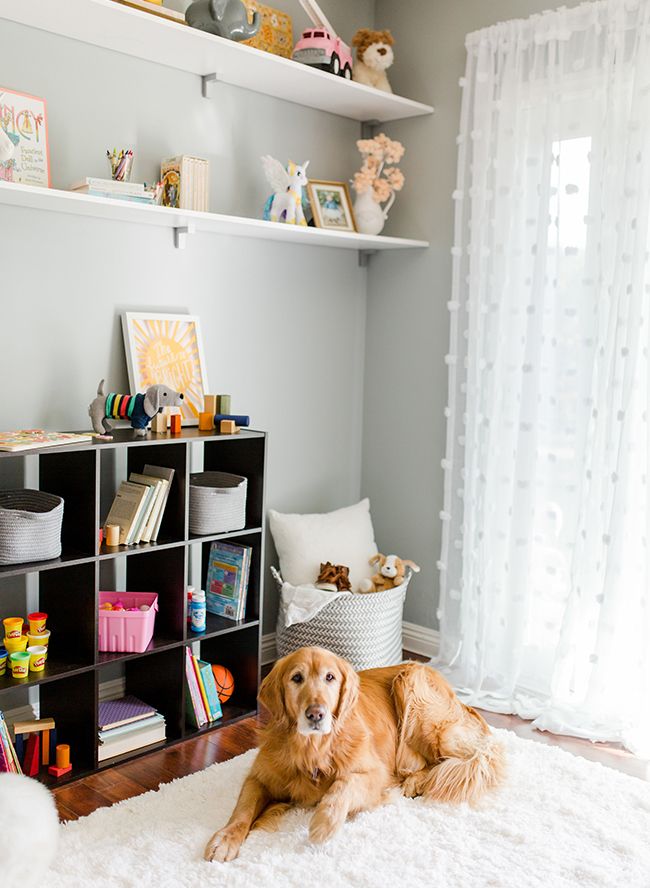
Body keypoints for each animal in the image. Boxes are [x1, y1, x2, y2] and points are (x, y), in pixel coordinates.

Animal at [202, 644, 502, 860]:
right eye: (296, 678)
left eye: (330, 677)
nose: (316, 714)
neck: (313, 747)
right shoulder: (260, 778)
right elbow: (242, 811)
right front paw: (225, 839)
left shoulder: (376, 774)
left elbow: (343, 784)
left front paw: (324, 822)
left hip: (415, 693)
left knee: (454, 758)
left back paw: (417, 781)